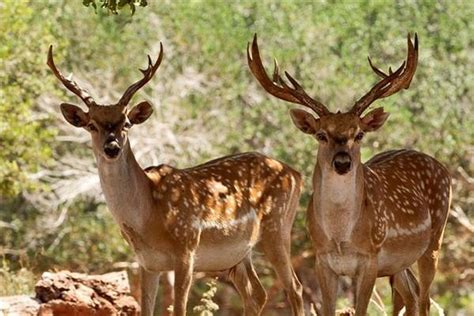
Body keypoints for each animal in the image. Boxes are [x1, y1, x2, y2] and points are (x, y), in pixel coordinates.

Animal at [48, 43, 304, 314]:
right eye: (91, 125)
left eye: (126, 123)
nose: (112, 147)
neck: (148, 218)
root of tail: (296, 174)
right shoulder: (146, 262)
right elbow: (146, 308)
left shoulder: (186, 248)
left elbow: (179, 308)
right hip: (240, 253)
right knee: (257, 293)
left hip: (277, 228)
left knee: (294, 288)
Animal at [248, 33, 452, 314]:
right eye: (321, 134)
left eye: (359, 134)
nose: (342, 162)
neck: (340, 237)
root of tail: (442, 168)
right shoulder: (322, 260)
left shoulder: (370, 258)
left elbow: (362, 309)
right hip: (399, 262)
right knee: (411, 294)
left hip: (435, 238)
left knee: (424, 298)